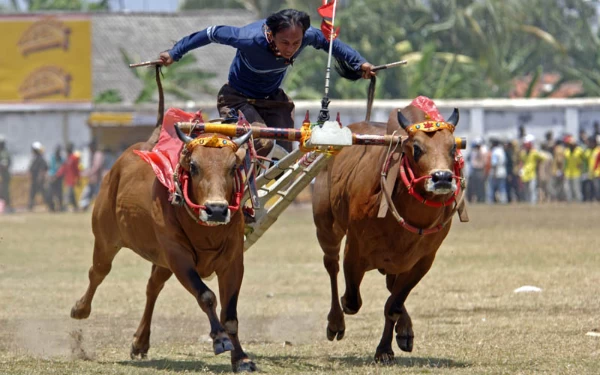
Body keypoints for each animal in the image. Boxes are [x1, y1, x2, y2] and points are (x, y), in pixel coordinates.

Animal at [71, 105, 258, 374]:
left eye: (234, 167)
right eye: (194, 166)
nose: (216, 210)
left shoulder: (232, 263)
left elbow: (230, 314)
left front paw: (241, 358)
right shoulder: (179, 258)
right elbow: (206, 296)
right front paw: (220, 338)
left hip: (161, 260)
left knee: (152, 287)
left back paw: (140, 342)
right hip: (106, 240)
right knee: (97, 272)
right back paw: (80, 309)